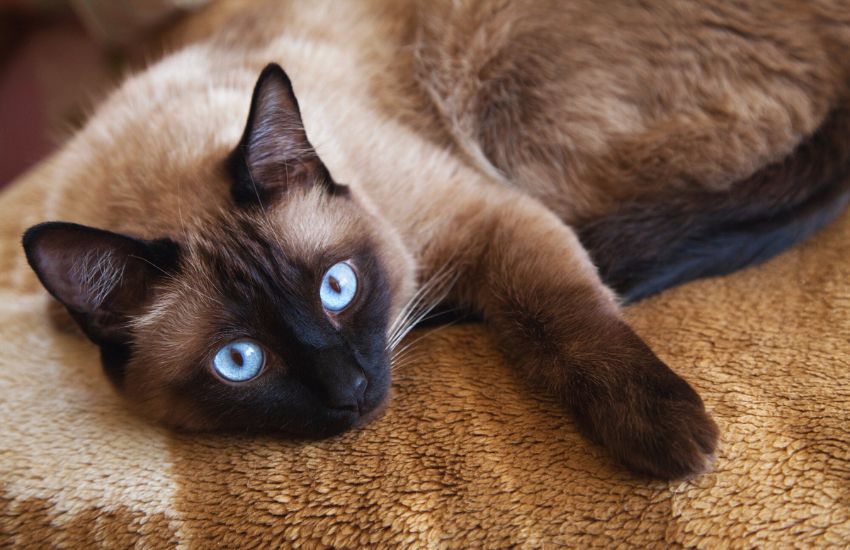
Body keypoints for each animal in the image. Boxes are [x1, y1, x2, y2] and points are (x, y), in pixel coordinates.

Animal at [18, 0, 848, 480]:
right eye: (239, 362)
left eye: (338, 287)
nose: (352, 391)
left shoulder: (491, 216)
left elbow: (570, 319)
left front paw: (671, 440)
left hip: (512, 112)